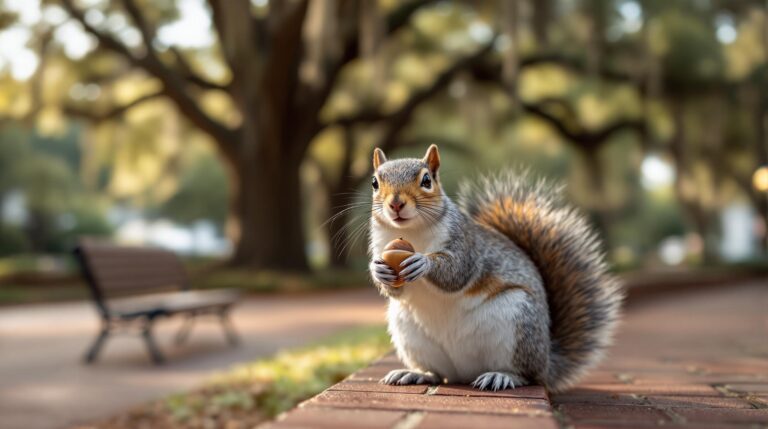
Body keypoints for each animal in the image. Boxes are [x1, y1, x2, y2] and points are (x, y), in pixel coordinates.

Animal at [368, 144, 623, 392]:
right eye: (374, 183)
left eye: (427, 180)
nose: (396, 204)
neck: (411, 232)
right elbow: (396, 290)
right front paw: (378, 271)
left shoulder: (466, 243)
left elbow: (457, 272)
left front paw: (424, 262)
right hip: (410, 332)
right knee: (438, 374)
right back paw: (416, 373)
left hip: (520, 324)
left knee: (528, 375)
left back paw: (501, 376)